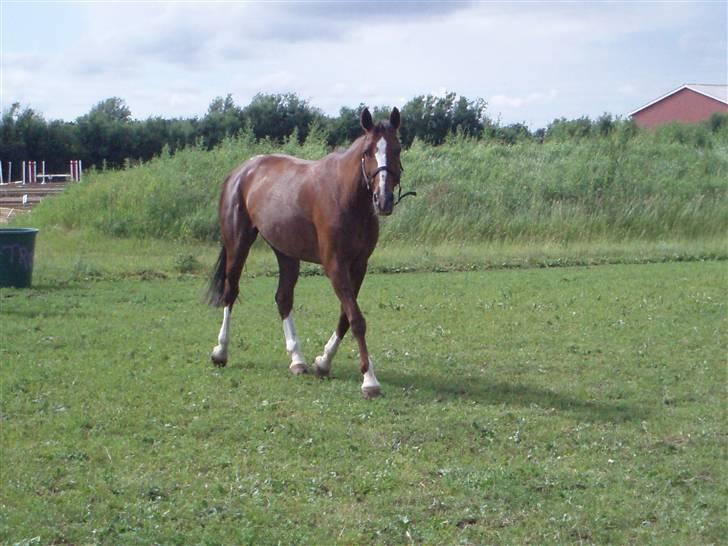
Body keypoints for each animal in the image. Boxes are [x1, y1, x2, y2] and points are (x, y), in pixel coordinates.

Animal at [208, 107, 406, 396]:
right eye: (368, 151)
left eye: (397, 148)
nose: (384, 200)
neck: (346, 196)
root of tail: (240, 172)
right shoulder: (335, 265)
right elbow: (356, 319)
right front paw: (369, 380)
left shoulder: (359, 265)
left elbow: (345, 317)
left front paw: (323, 362)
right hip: (238, 244)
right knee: (230, 292)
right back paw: (221, 352)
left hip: (286, 253)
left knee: (283, 298)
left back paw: (297, 360)